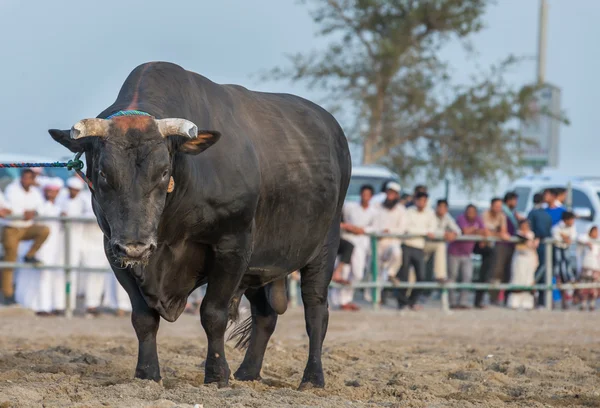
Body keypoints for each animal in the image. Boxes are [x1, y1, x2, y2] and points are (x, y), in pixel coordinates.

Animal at [50, 61, 352, 388]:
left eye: (163, 171)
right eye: (104, 172)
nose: (135, 246)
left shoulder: (233, 245)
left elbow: (213, 314)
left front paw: (217, 374)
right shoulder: (113, 249)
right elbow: (143, 317)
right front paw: (147, 374)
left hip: (325, 245)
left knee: (316, 311)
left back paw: (312, 377)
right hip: (259, 265)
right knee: (265, 316)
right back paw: (248, 373)